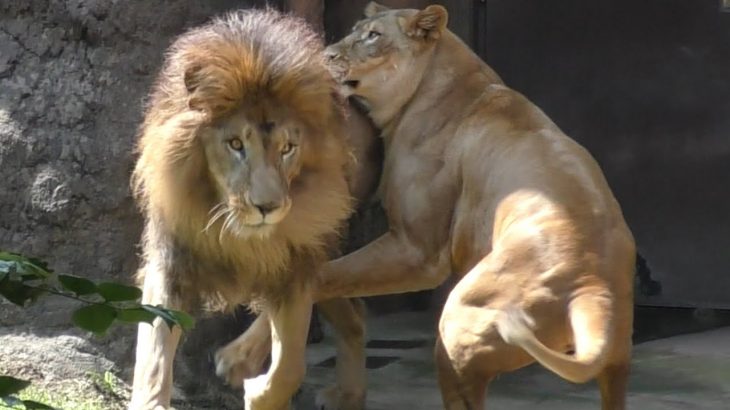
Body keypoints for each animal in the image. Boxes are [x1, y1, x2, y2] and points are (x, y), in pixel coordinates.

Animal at [128, 9, 376, 410]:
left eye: (288, 148)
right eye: (234, 144)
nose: (267, 207)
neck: (236, 233)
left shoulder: (297, 263)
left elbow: (290, 366)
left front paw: (259, 392)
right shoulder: (171, 262)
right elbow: (153, 354)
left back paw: (239, 360)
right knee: (352, 315)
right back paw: (347, 394)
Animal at [228, 3, 632, 410]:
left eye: (373, 36)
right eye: (356, 29)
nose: (324, 56)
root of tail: (591, 288)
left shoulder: (417, 252)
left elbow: (323, 276)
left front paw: (242, 354)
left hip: (458, 326)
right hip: (615, 366)